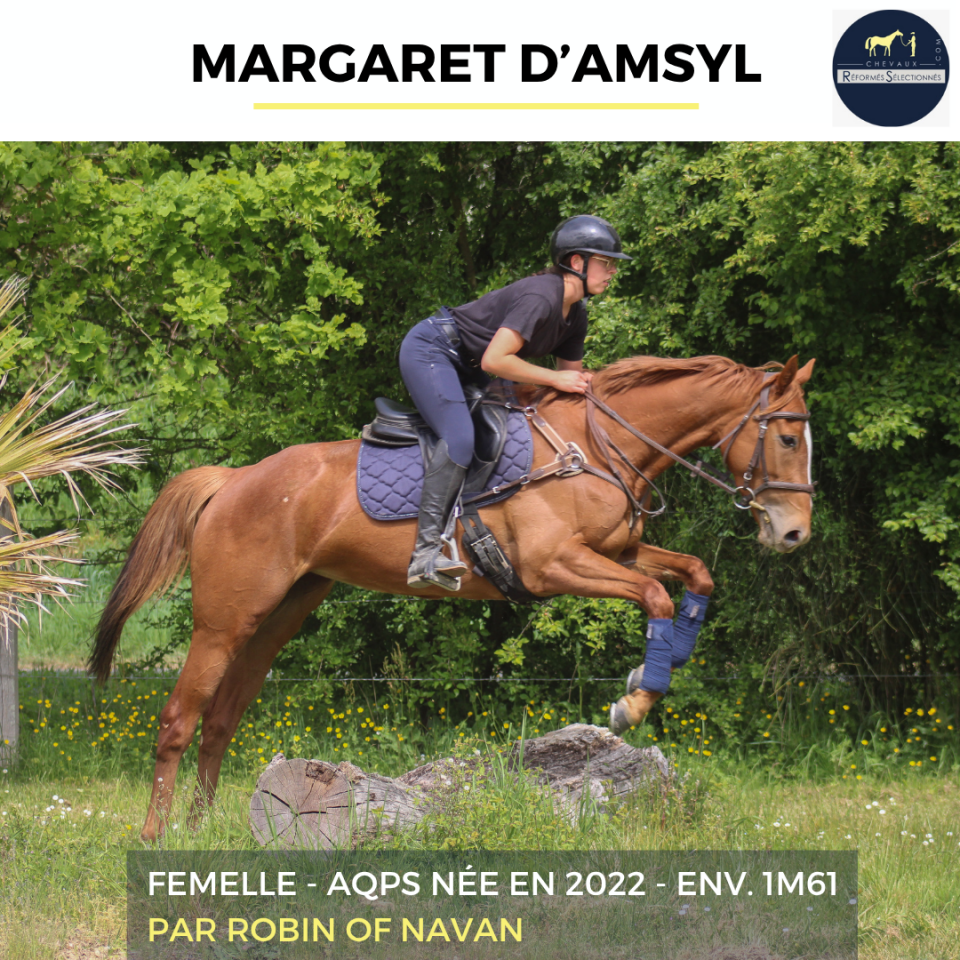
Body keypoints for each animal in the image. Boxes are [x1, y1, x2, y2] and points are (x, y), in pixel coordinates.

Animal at [90, 353, 816, 842]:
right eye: (786, 438)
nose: (794, 532)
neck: (596, 447)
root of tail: (235, 478)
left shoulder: (613, 552)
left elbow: (692, 575)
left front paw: (663, 665)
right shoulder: (555, 566)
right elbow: (654, 596)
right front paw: (634, 700)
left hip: (278, 616)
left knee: (220, 719)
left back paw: (202, 827)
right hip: (223, 620)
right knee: (178, 719)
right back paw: (156, 836)